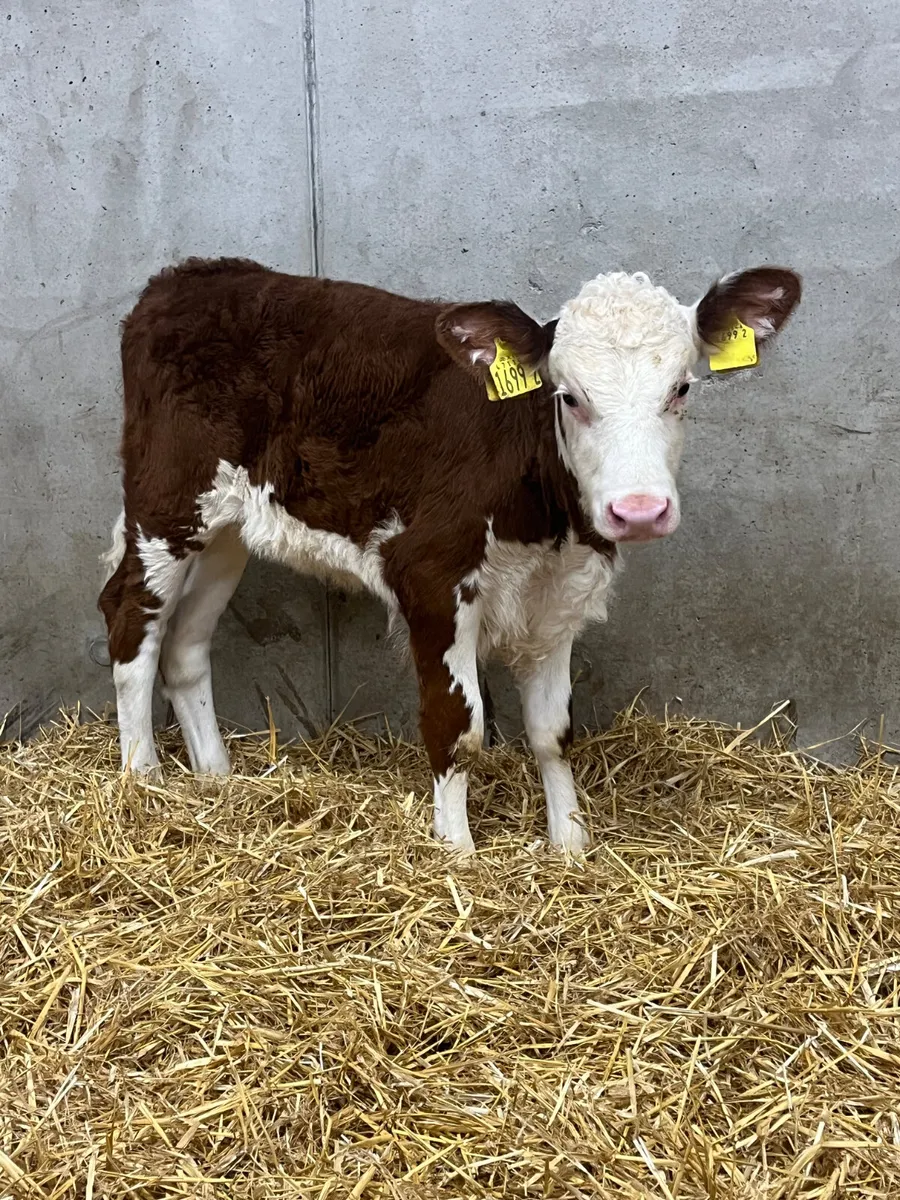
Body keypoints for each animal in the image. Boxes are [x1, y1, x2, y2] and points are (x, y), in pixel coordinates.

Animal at [99, 258, 801, 853]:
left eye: (681, 389)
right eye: (569, 396)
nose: (639, 510)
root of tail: (186, 276)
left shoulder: (561, 594)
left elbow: (553, 733)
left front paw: (571, 846)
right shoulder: (430, 577)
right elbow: (457, 726)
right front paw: (457, 851)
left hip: (226, 528)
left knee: (185, 644)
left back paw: (216, 780)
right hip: (167, 499)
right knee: (131, 617)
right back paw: (144, 781)